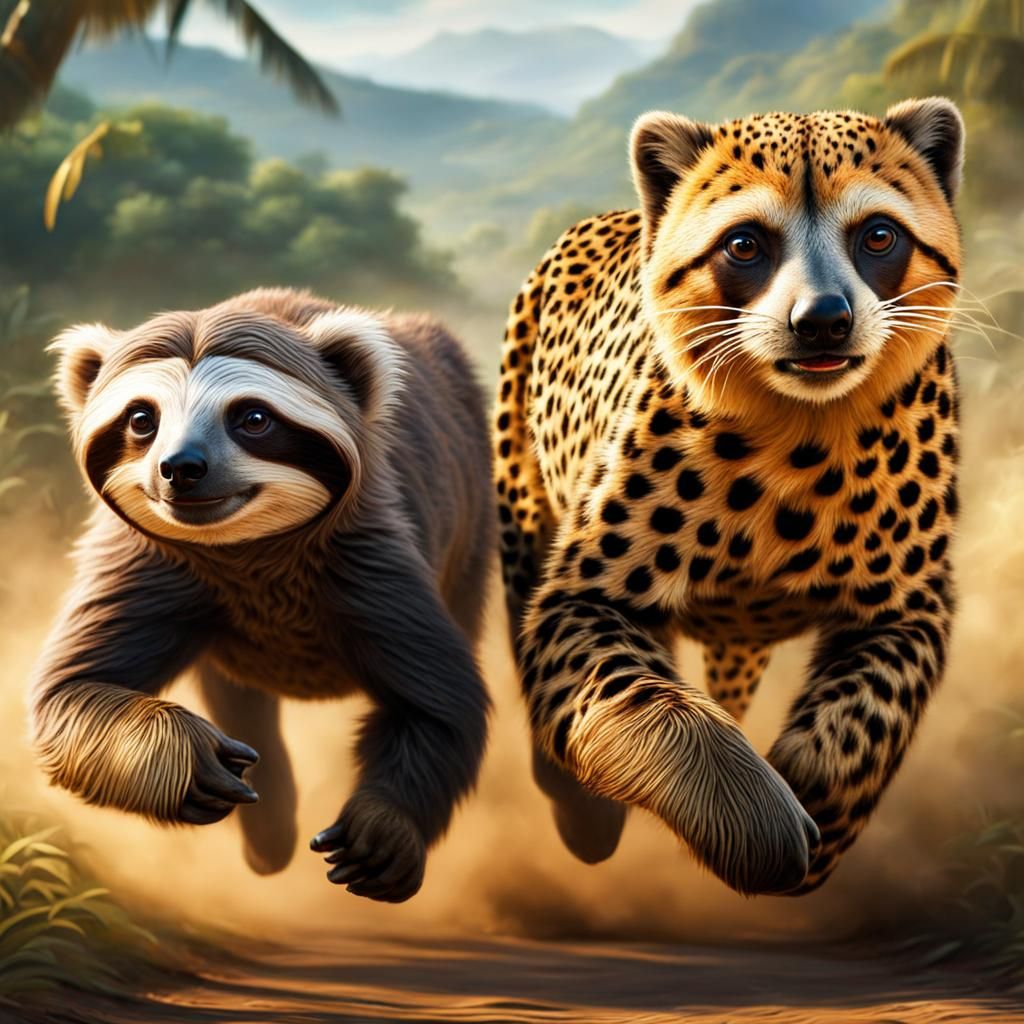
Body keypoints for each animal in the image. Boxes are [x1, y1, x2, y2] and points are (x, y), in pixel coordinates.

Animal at [493, 98, 964, 896]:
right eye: (745, 244)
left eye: (878, 235)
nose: (823, 320)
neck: (802, 441)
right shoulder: (583, 594)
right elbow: (639, 695)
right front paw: (756, 820)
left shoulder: (912, 607)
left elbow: (866, 718)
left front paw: (811, 809)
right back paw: (580, 814)